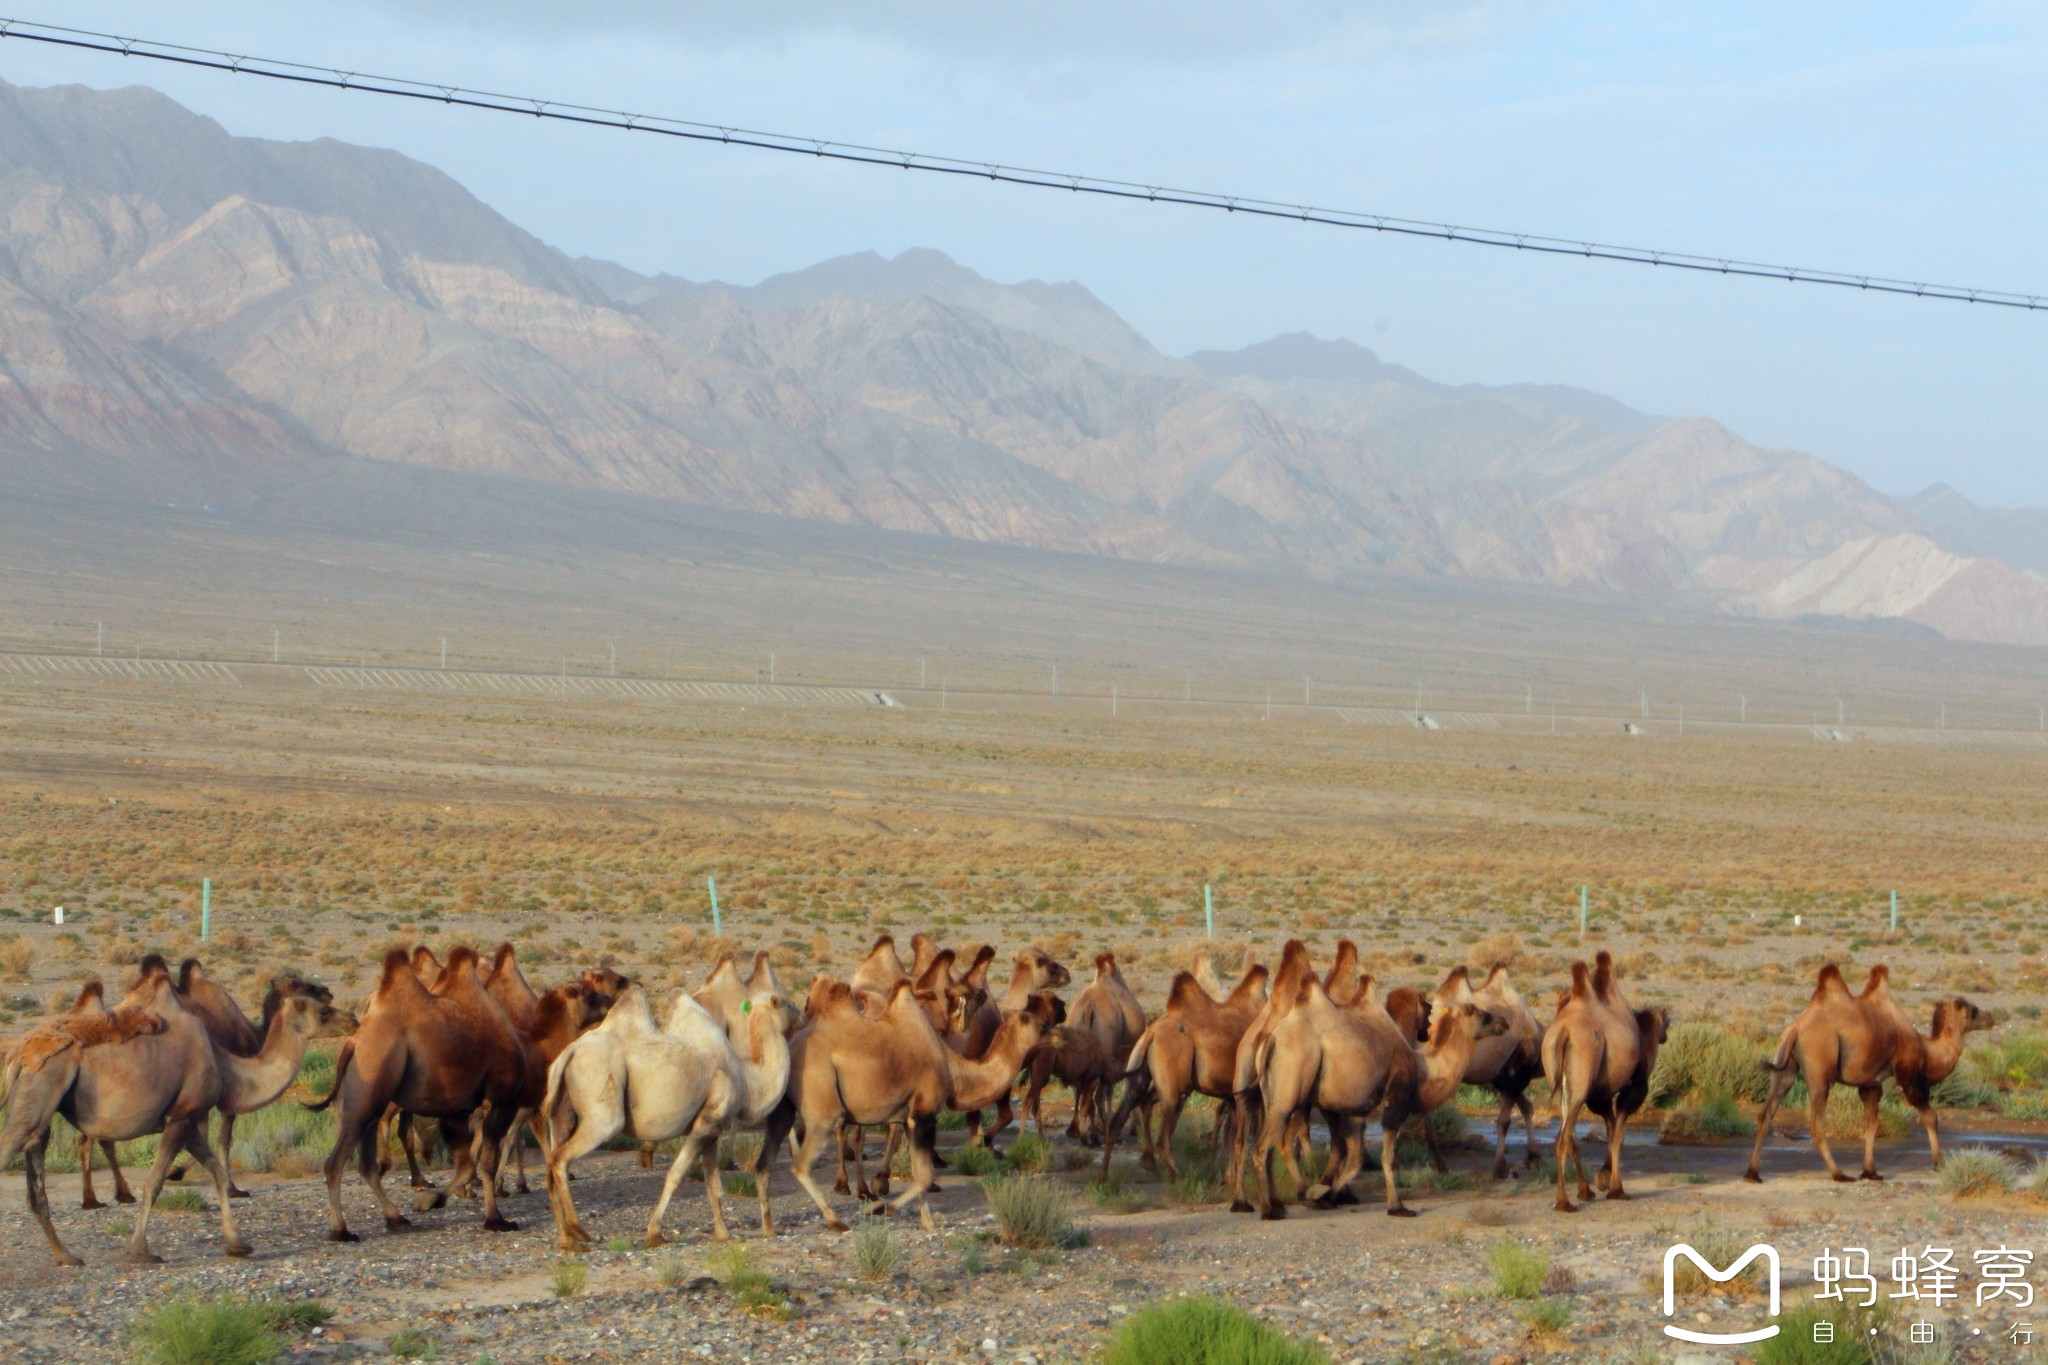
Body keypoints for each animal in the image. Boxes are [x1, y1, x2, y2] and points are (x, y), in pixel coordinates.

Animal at [540, 978, 786, 1252]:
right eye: (784, 1002)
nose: (802, 1012)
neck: (746, 1082)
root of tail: (569, 1053)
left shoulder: (712, 1128)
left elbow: (713, 1183)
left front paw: (723, 1234)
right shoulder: (708, 1121)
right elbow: (676, 1175)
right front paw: (655, 1233)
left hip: (562, 1111)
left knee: (550, 1164)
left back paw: (567, 1241)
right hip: (602, 1104)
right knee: (562, 1158)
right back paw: (578, 1230)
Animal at [770, 978, 1056, 1236]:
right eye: (1040, 1025)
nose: (1058, 1037)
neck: (953, 1069)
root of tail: (791, 1047)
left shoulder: (909, 1117)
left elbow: (920, 1173)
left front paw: (925, 1220)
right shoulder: (924, 1114)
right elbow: (925, 1177)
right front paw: (879, 1208)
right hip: (823, 1105)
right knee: (803, 1162)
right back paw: (836, 1218)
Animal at [1245, 978, 1507, 1219]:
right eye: (1476, 1011)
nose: (1502, 1022)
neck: (1424, 1071)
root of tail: (1270, 1039)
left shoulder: (1356, 1111)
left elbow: (1355, 1160)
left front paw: (1328, 1193)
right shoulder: (1396, 1103)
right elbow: (1387, 1157)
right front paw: (1397, 1206)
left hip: (1275, 1095)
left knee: (1276, 1143)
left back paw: (1291, 1200)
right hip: (1290, 1095)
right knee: (1265, 1147)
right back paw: (1271, 1208)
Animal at [1744, 961, 1982, 1186]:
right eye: (1974, 1010)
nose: (1989, 1017)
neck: (1925, 1048)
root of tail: (1796, 1028)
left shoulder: (1871, 1083)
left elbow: (1871, 1124)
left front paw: (1870, 1172)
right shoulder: (1908, 1072)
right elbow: (1930, 1116)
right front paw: (1939, 1163)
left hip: (1784, 1059)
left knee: (1767, 1113)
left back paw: (1753, 1173)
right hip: (1819, 1062)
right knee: (1816, 1124)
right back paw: (1839, 1174)